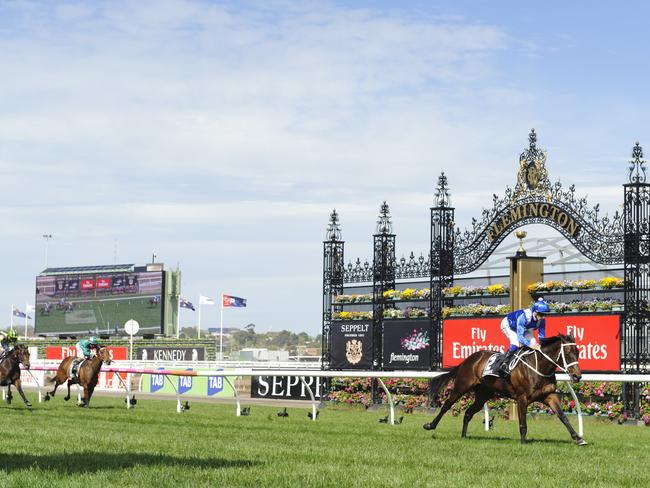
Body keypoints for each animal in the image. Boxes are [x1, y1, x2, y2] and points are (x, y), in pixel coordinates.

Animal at [422, 336, 584, 446]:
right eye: (567, 352)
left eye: (578, 352)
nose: (577, 376)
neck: (538, 367)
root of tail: (470, 358)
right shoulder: (522, 398)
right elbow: (523, 422)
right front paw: (523, 442)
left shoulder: (549, 396)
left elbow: (562, 416)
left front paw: (577, 437)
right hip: (462, 386)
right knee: (447, 404)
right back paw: (430, 425)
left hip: (483, 394)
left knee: (468, 412)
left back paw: (463, 436)